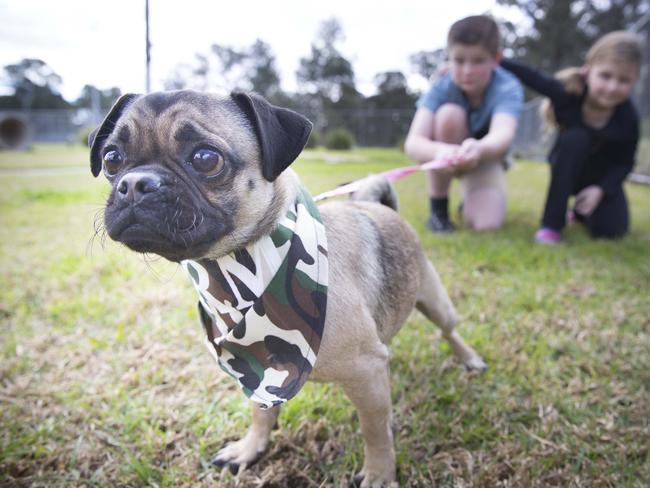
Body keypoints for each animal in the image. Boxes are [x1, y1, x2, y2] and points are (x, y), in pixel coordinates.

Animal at [88, 91, 484, 488]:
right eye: (111, 159)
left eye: (205, 159)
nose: (135, 183)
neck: (237, 274)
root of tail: (379, 206)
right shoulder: (257, 371)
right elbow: (261, 413)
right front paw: (250, 449)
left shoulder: (366, 372)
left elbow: (375, 431)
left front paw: (379, 474)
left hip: (434, 300)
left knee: (449, 330)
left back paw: (469, 359)